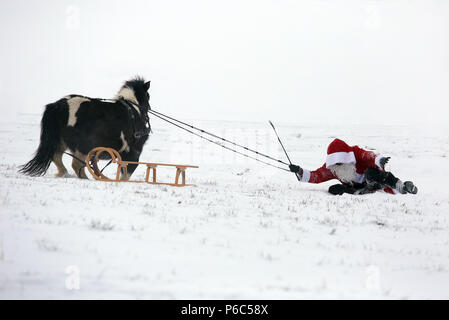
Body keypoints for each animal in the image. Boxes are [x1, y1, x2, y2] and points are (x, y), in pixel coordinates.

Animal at [19, 76, 151, 179]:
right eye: (148, 95)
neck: (134, 110)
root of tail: (59, 106)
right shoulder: (133, 151)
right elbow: (127, 172)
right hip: (83, 147)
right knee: (76, 164)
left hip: (62, 141)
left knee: (56, 156)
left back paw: (64, 173)